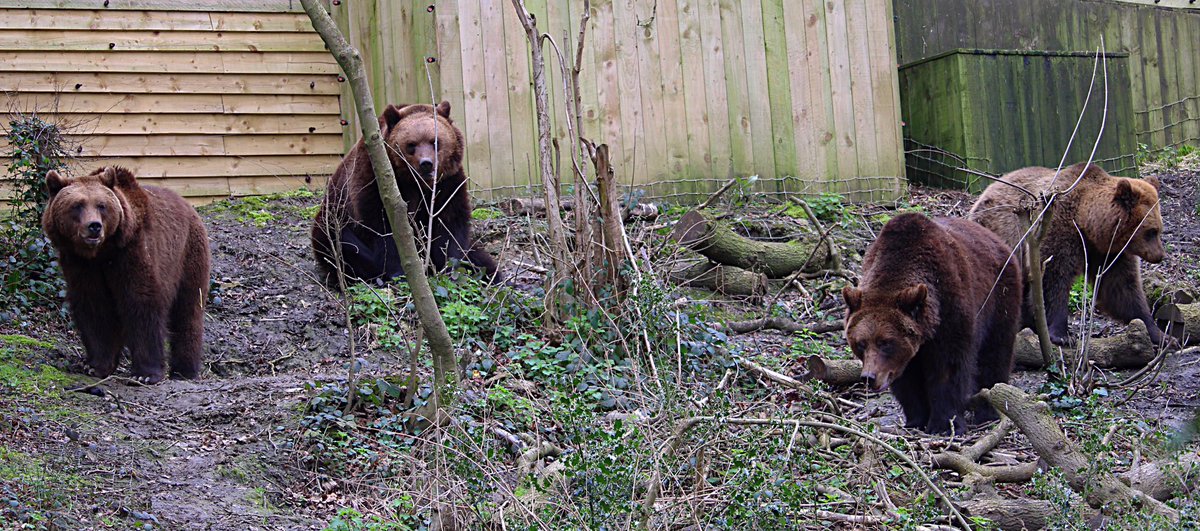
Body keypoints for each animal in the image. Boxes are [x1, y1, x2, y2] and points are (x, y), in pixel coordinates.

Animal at [41, 166, 210, 384]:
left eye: (101, 205)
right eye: (77, 205)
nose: (94, 226)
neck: (102, 253)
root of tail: (188, 206)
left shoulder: (132, 252)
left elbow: (141, 302)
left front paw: (146, 373)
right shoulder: (81, 266)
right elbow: (94, 308)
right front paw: (95, 365)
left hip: (188, 254)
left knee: (188, 309)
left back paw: (184, 370)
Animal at [311, 101, 499, 286]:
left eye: (435, 142)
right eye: (411, 145)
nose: (426, 163)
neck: (416, 183)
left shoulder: (447, 182)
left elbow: (449, 224)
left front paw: (451, 267)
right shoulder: (375, 180)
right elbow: (385, 228)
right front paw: (399, 272)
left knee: (479, 257)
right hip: (333, 219)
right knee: (342, 245)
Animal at [843, 213, 1022, 434]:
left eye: (885, 342)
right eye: (861, 343)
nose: (869, 377)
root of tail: (996, 239)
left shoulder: (951, 313)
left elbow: (948, 369)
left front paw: (945, 424)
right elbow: (907, 378)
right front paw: (916, 419)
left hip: (1000, 297)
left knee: (995, 355)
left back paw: (988, 412)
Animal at [967, 162, 1168, 347]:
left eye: (1159, 229)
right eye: (1151, 231)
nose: (1159, 255)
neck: (1087, 224)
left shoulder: (1108, 253)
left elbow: (1122, 288)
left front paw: (1160, 334)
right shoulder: (1056, 228)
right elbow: (1052, 278)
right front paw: (1062, 335)